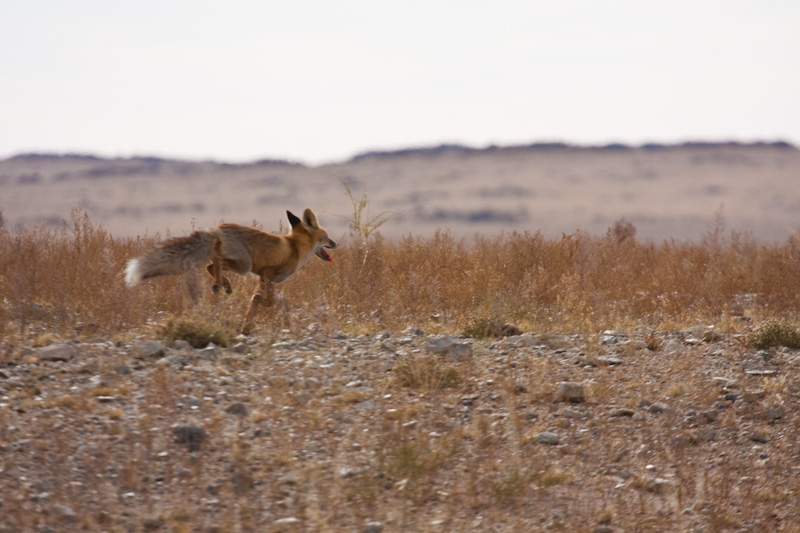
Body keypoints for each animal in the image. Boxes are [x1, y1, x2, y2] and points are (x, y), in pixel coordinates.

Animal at [126, 210, 338, 330]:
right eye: (327, 237)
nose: (337, 243)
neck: (294, 247)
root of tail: (216, 228)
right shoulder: (268, 272)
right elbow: (267, 301)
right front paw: (259, 304)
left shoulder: (262, 278)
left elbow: (253, 305)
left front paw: (245, 328)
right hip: (245, 265)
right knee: (215, 263)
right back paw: (220, 284)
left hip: (240, 264)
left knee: (210, 265)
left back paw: (222, 284)